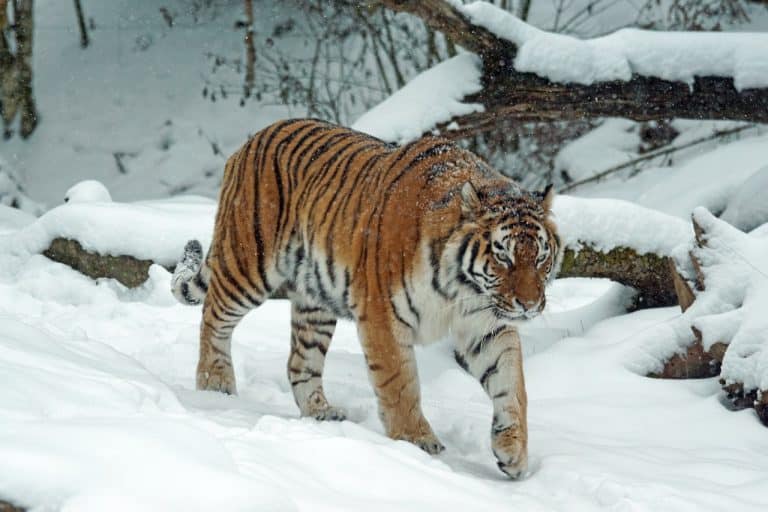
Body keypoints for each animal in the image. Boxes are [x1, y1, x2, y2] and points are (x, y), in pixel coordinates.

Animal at [171, 118, 561, 478]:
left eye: (541, 257)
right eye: (503, 256)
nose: (529, 305)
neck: (462, 289)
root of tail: (252, 139)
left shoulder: (486, 324)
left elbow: (512, 383)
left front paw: (513, 452)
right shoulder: (382, 316)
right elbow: (400, 384)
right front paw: (416, 442)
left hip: (315, 301)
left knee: (300, 361)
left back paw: (321, 413)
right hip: (248, 262)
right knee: (213, 317)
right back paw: (214, 385)